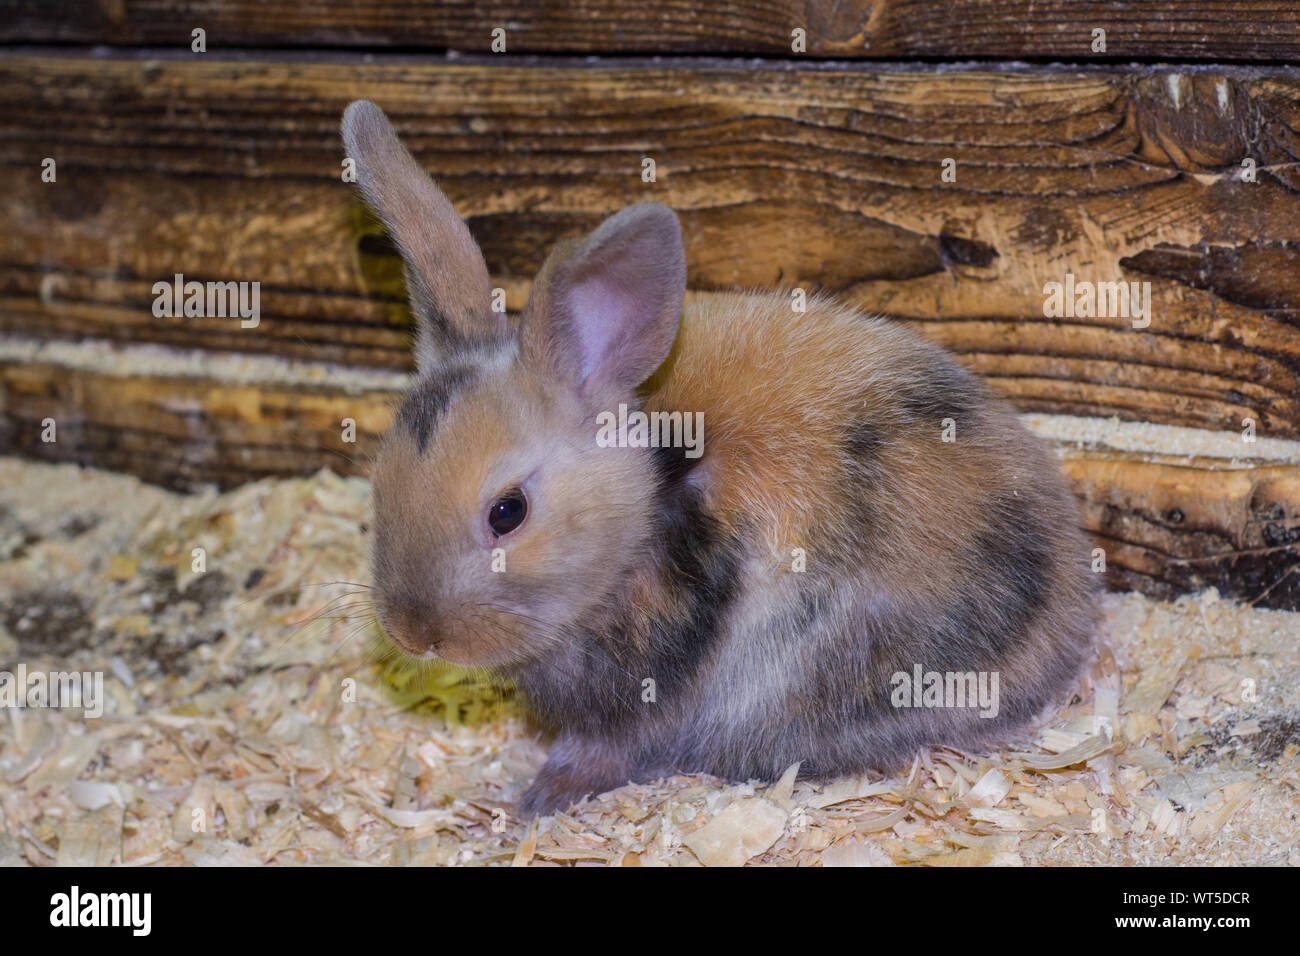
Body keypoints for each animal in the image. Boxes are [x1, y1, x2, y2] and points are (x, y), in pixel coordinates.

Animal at [343, 97, 1097, 816]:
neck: (650, 505)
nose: (413, 632)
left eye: (508, 512)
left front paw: (536, 800)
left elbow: (606, 749)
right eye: (378, 486)